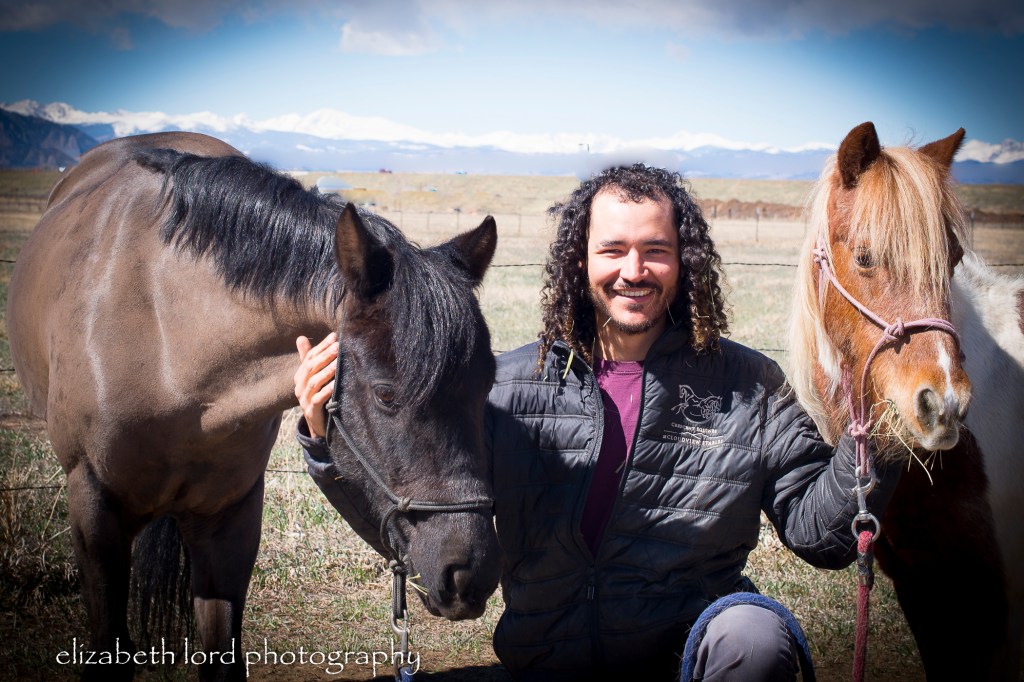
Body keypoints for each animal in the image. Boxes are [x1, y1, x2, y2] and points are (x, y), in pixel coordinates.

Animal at [6, 131, 503, 681]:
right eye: (385, 394)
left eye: (487, 386)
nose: (470, 573)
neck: (167, 341)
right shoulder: (93, 508)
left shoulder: (231, 519)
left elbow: (223, 658)